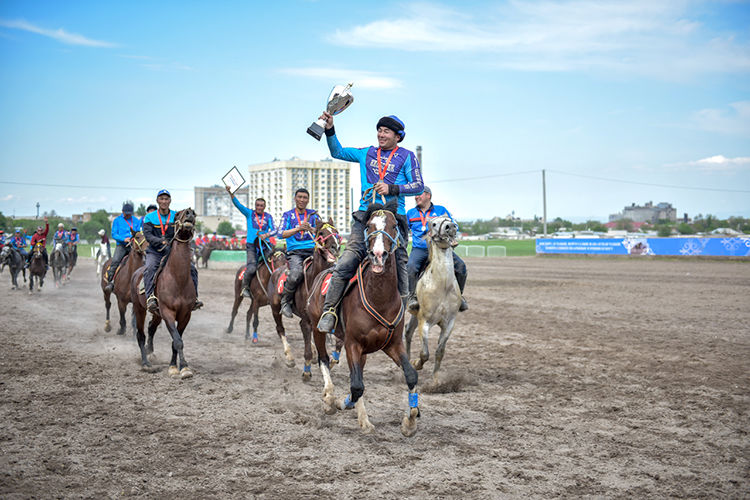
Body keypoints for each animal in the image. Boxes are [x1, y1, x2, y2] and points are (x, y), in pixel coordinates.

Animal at [131, 208, 197, 377]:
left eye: (193, 213)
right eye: (178, 214)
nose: (190, 212)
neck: (178, 278)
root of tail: (136, 273)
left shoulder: (186, 314)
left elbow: (176, 341)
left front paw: (177, 366)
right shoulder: (168, 312)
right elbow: (178, 341)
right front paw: (181, 368)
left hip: (156, 313)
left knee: (150, 328)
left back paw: (150, 353)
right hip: (139, 309)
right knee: (141, 335)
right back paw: (146, 364)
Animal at [267, 218, 341, 378]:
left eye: (336, 231)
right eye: (321, 233)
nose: (336, 247)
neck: (315, 278)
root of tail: (276, 271)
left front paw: (332, 360)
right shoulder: (308, 320)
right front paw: (307, 369)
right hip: (275, 308)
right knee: (280, 329)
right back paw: (289, 358)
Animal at [307, 201, 420, 436]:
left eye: (394, 226)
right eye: (368, 226)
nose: (378, 254)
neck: (379, 299)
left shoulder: (392, 344)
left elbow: (411, 375)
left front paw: (410, 422)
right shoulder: (352, 344)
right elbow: (357, 385)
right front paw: (342, 404)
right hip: (316, 328)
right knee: (323, 359)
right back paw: (329, 398)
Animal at [404, 215, 463, 385]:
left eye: (449, 218)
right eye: (434, 224)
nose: (450, 227)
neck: (442, 285)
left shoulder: (449, 323)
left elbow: (440, 352)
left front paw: (436, 382)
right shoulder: (425, 321)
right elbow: (425, 353)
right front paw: (416, 364)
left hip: (415, 316)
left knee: (408, 332)